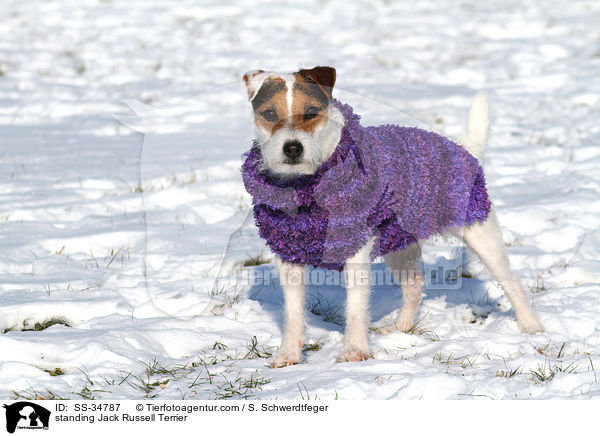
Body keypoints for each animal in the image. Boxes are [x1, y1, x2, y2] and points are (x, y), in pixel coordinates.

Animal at [239, 66, 544, 366]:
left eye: (312, 111)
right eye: (269, 114)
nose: (292, 147)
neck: (307, 187)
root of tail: (465, 150)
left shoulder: (356, 247)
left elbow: (355, 307)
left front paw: (355, 351)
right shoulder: (287, 254)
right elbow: (293, 312)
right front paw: (288, 355)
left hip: (480, 231)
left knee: (511, 283)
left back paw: (532, 328)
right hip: (400, 244)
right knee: (414, 287)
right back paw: (399, 328)